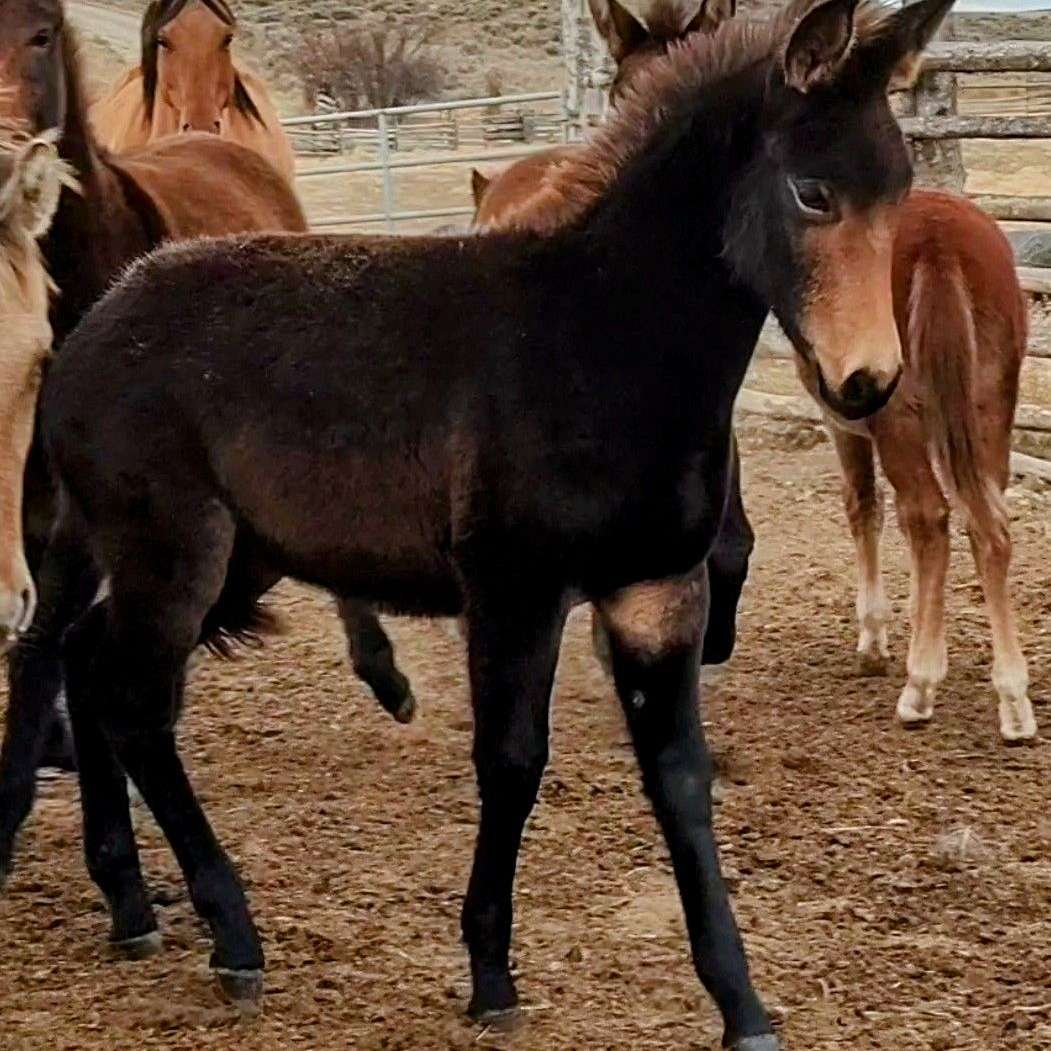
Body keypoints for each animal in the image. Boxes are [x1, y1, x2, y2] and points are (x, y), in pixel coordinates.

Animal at [794, 191, 1034, 748]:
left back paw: (919, 689)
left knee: (929, 518)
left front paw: (874, 643)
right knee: (989, 530)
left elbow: (864, 507)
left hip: (899, 420)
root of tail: (939, 242)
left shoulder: (845, 427)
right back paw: (1014, 704)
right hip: (989, 415)